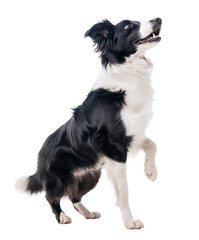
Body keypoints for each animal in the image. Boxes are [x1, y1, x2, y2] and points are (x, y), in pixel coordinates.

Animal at [15, 17, 162, 230]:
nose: (158, 19)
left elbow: (152, 144)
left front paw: (151, 171)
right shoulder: (115, 146)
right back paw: (62, 217)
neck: (128, 73)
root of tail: (40, 156)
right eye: (128, 26)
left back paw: (88, 213)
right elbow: (124, 190)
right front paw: (129, 222)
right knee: (52, 196)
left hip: (91, 174)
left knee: (74, 196)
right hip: (59, 178)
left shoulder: (131, 135)